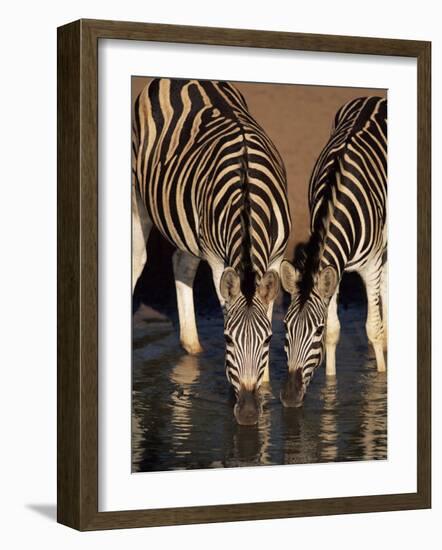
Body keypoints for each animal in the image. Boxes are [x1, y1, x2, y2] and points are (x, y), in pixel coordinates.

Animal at [131, 78, 290, 426]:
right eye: (228, 340)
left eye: (269, 340)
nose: (248, 413)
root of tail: (180, 78)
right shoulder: (218, 262)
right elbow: (225, 307)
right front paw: (233, 391)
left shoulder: (276, 258)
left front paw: (266, 389)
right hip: (138, 195)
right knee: (136, 262)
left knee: (181, 262)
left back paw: (193, 346)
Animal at [280, 97, 386, 410]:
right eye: (285, 328)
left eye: (313, 331)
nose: (290, 398)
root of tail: (374, 98)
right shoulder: (332, 270)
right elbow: (334, 331)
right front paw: (330, 390)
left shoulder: (371, 265)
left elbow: (373, 327)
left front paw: (381, 381)